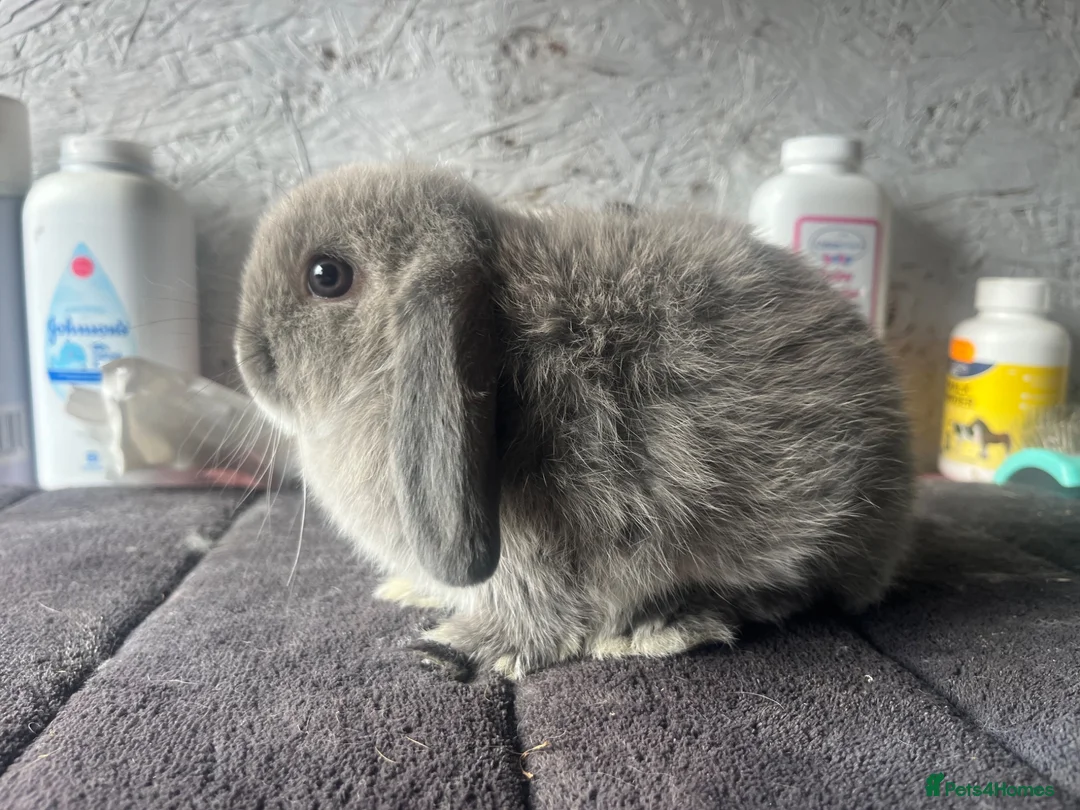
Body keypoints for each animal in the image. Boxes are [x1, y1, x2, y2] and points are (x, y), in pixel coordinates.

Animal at [235, 162, 915, 680]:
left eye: (326, 275)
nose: (246, 359)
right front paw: (410, 590)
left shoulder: (533, 561)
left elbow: (536, 623)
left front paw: (452, 649)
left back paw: (660, 626)